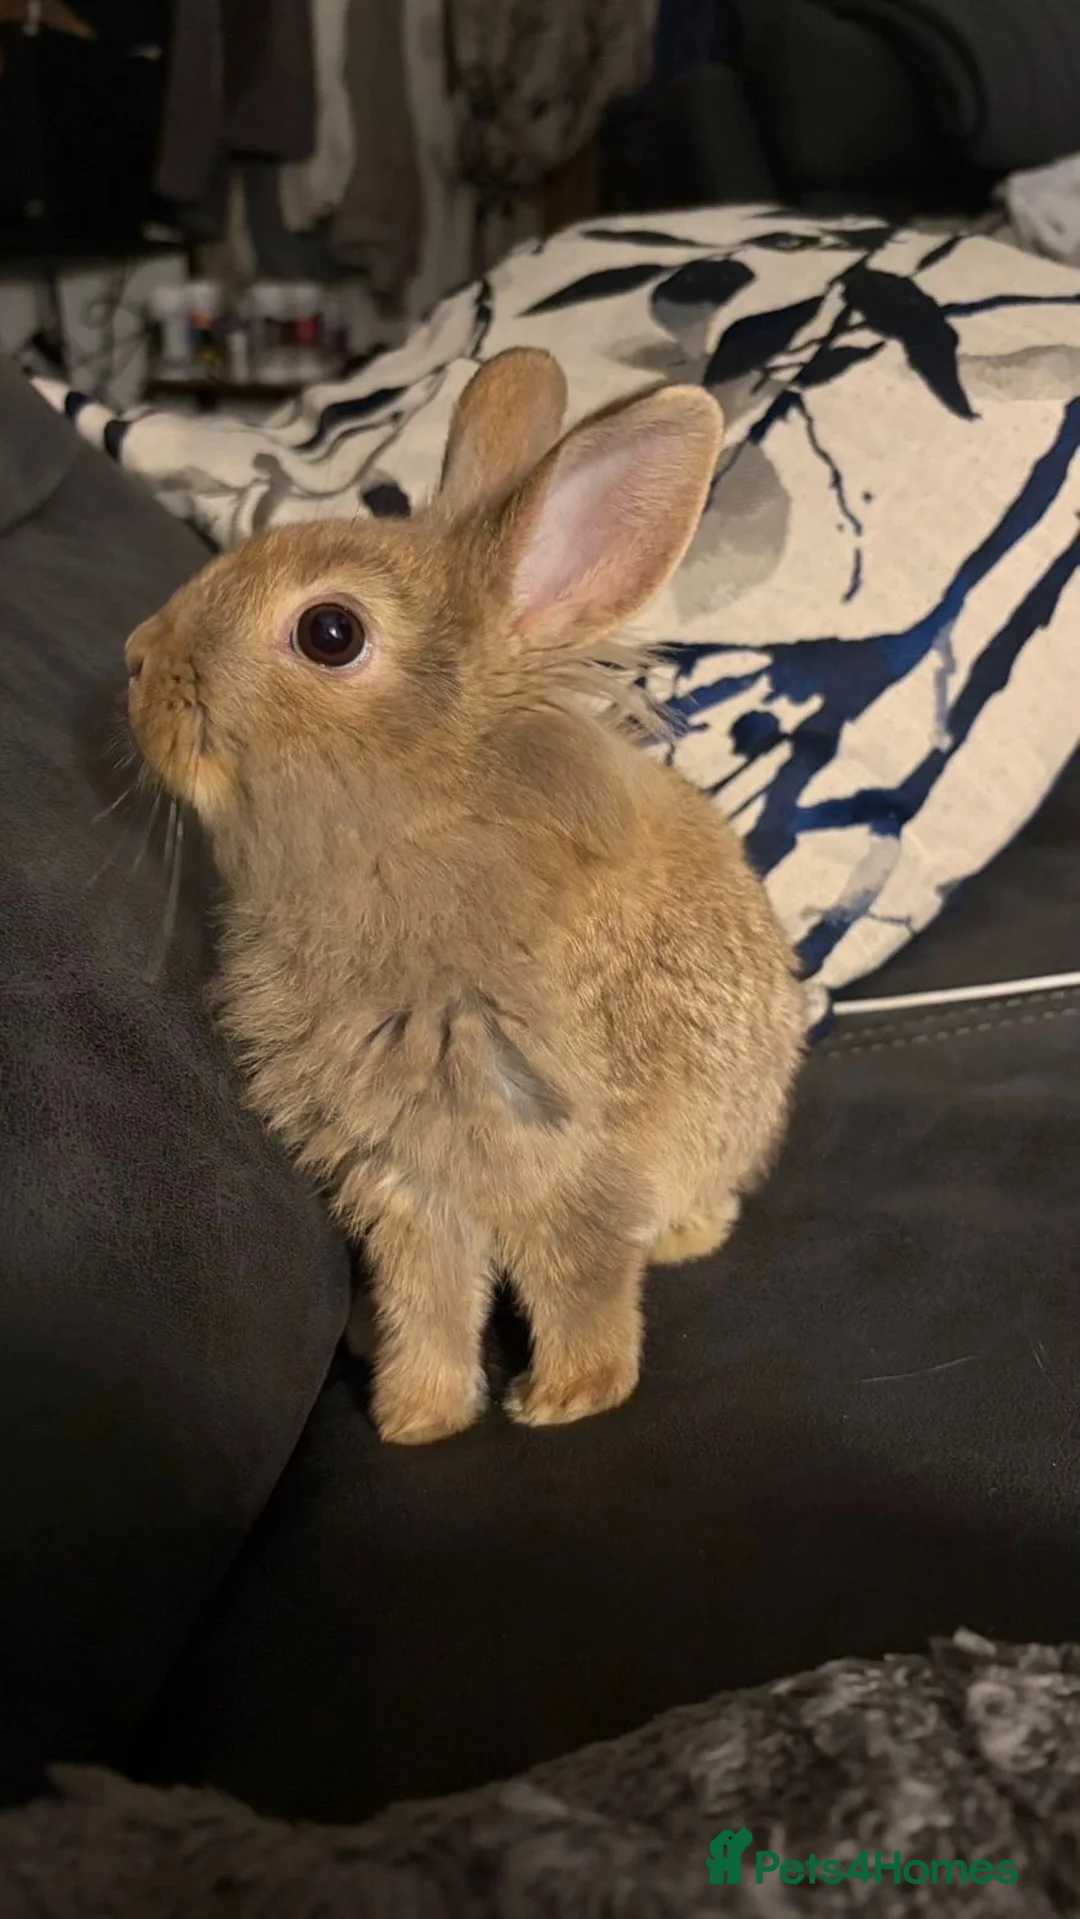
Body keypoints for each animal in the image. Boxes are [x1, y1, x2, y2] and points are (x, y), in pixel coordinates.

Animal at [126, 348, 804, 1445]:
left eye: (329, 632)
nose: (136, 660)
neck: (423, 824)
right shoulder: (402, 1176)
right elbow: (428, 1301)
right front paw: (417, 1417)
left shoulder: (561, 1161)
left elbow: (581, 1283)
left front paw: (563, 1401)